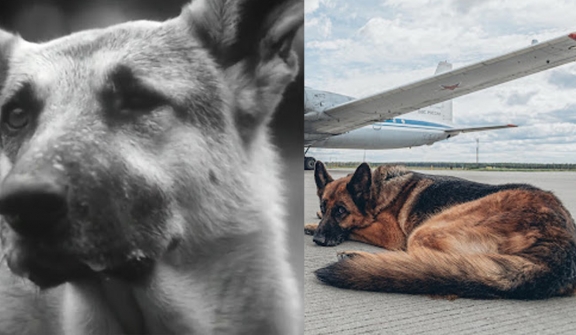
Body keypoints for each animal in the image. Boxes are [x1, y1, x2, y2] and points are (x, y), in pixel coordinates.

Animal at [308, 161, 576, 300]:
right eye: (324, 206)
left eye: (341, 211)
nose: (319, 240)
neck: (378, 191)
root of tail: (563, 240)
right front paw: (312, 223)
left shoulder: (389, 233)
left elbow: (357, 228)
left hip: (425, 231)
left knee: (422, 260)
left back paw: (357, 256)